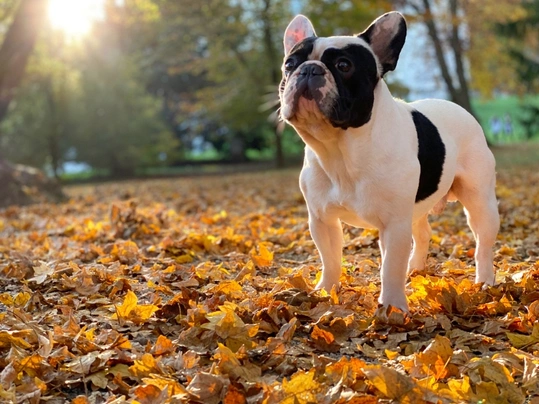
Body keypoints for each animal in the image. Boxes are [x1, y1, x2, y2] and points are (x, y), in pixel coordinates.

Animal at [280, 11, 500, 310]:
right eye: (289, 64)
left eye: (343, 65)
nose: (309, 69)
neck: (340, 150)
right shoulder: (322, 220)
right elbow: (330, 259)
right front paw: (326, 290)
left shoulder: (394, 224)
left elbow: (390, 266)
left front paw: (392, 307)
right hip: (415, 207)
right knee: (423, 232)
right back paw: (416, 268)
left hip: (480, 201)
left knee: (482, 243)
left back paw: (484, 281)